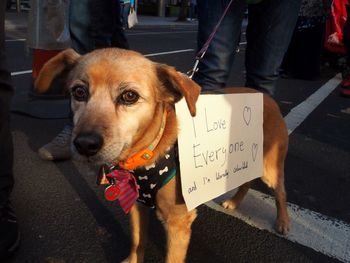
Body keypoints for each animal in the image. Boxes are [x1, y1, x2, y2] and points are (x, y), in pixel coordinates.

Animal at [34, 48, 290, 262]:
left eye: (129, 96)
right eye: (78, 92)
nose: (85, 144)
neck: (145, 155)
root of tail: (266, 97)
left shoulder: (177, 222)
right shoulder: (136, 206)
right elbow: (137, 242)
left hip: (270, 168)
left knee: (280, 192)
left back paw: (283, 222)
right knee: (246, 181)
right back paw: (234, 202)